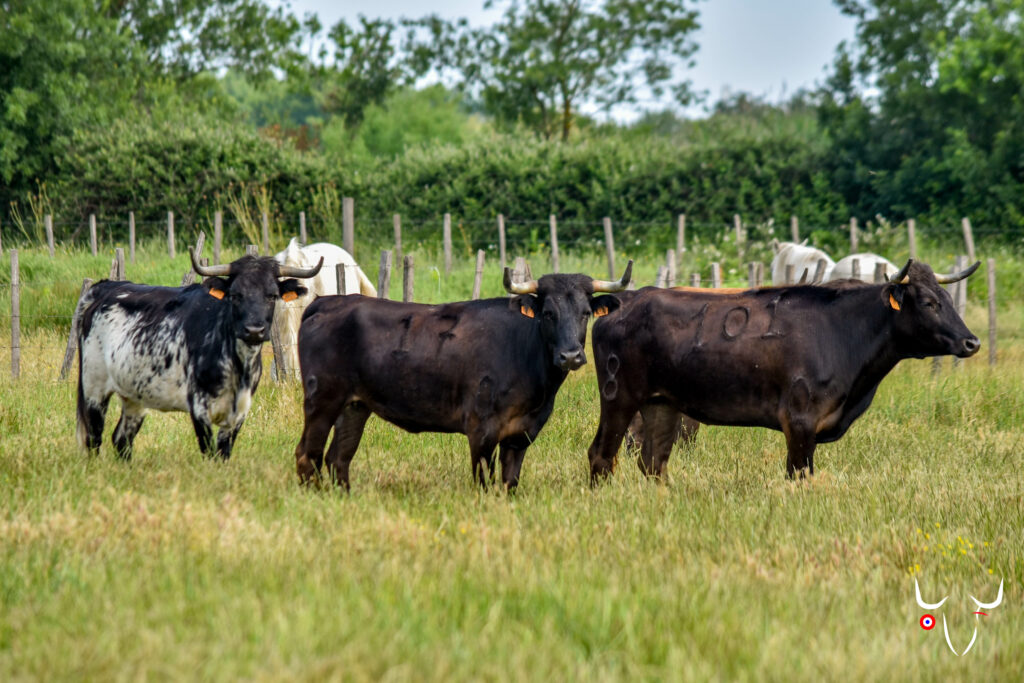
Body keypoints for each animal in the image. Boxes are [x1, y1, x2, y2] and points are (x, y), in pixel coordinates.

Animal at [76, 249, 321, 458]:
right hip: (94, 387)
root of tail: (105, 288)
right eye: (236, 295)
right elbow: (209, 452)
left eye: (271, 295)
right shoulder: (199, 408)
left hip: (134, 396)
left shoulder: (239, 412)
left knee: (122, 439)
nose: (254, 330)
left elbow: (223, 454)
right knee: (93, 438)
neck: (236, 364)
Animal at [292, 262, 630, 491]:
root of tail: (329, 301)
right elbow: (484, 482)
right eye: (548, 313)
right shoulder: (481, 430)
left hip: (354, 406)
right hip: (322, 400)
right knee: (308, 453)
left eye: (585, 313)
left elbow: (509, 483)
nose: (570, 356)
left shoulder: (520, 435)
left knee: (339, 457)